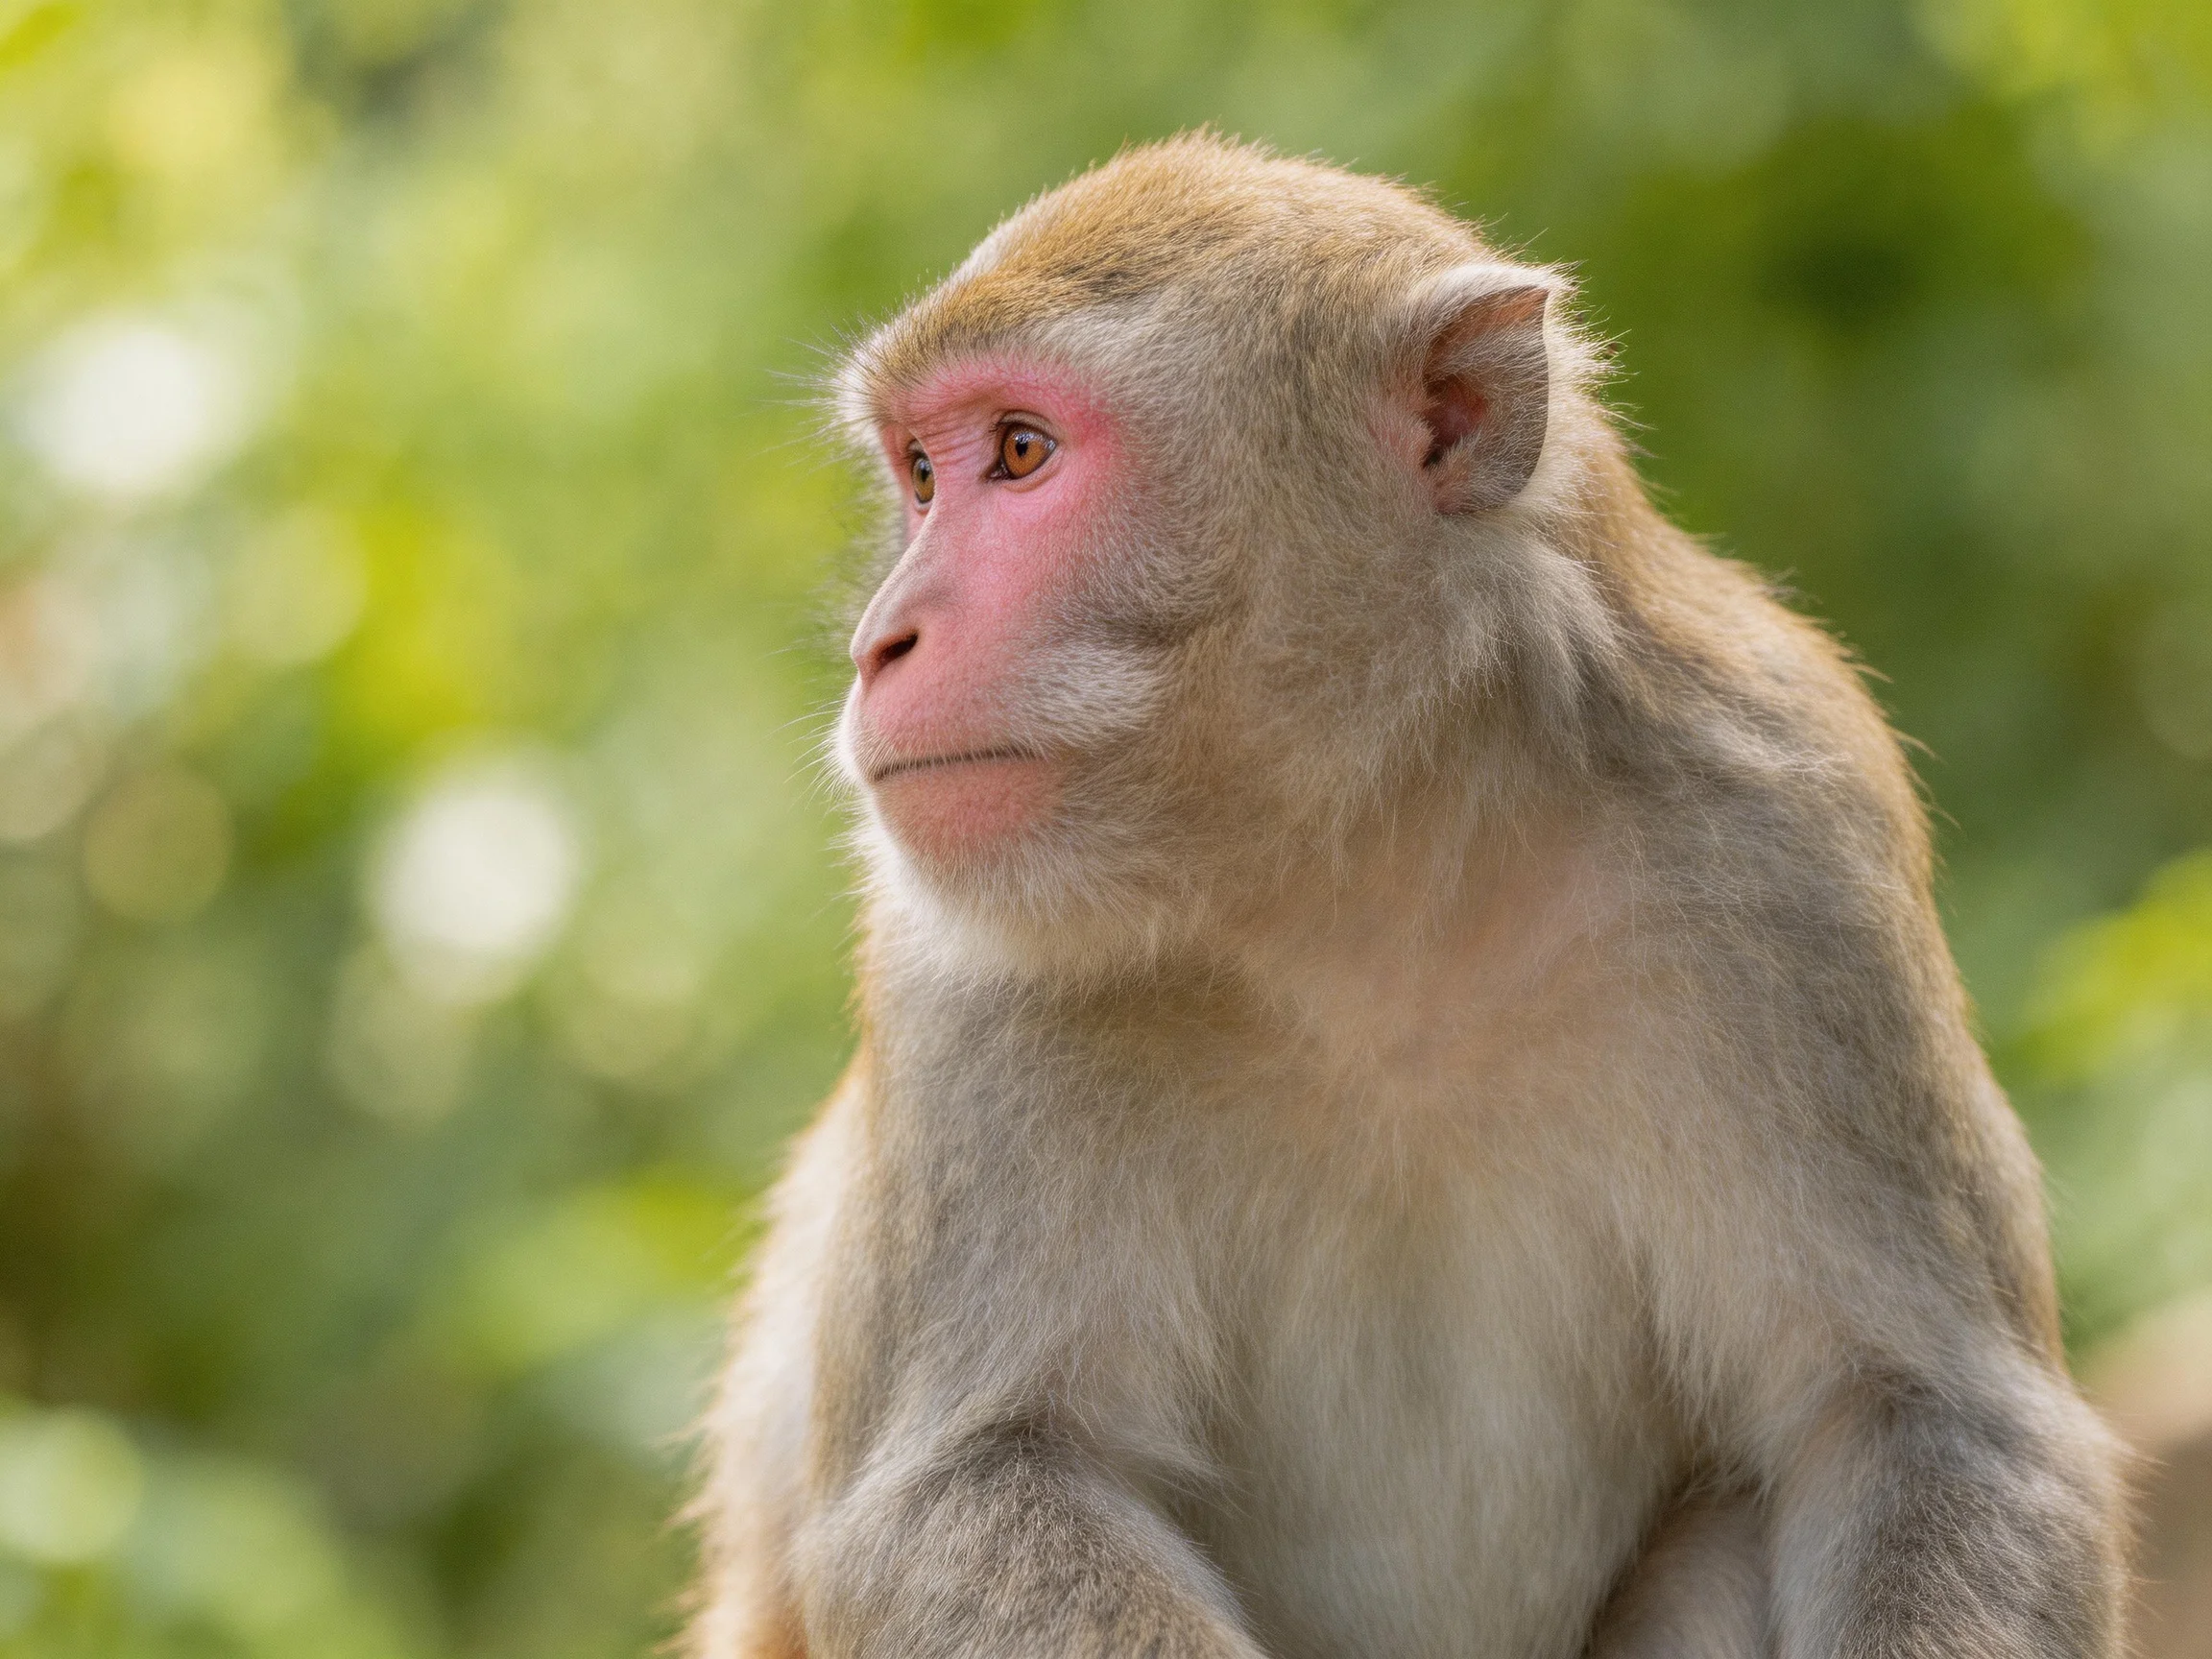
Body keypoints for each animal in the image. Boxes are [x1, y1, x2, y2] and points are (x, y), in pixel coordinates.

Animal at [687, 134, 2127, 1659]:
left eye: (1019, 452)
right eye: (917, 475)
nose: (878, 642)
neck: (1361, 882)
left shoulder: (1792, 841)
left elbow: (1925, 1421)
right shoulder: (950, 959)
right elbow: (975, 1479)